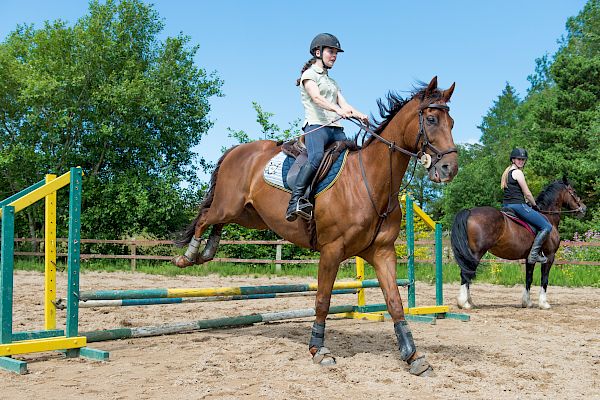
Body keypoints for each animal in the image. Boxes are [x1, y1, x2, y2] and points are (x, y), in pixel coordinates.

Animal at [173, 76, 460, 376]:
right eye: (431, 119)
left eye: (451, 123)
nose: (450, 168)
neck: (369, 181)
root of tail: (237, 150)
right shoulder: (331, 251)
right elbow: (322, 300)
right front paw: (319, 351)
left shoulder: (383, 253)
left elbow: (395, 303)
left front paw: (413, 356)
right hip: (228, 205)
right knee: (205, 217)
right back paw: (188, 257)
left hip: (247, 215)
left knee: (217, 223)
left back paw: (207, 252)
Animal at [450, 177, 584, 310]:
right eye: (574, 191)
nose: (583, 208)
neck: (548, 217)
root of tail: (470, 212)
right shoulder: (549, 255)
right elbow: (544, 279)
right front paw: (543, 303)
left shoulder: (530, 258)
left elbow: (529, 278)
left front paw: (527, 302)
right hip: (476, 253)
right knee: (466, 273)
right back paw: (465, 303)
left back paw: (469, 302)